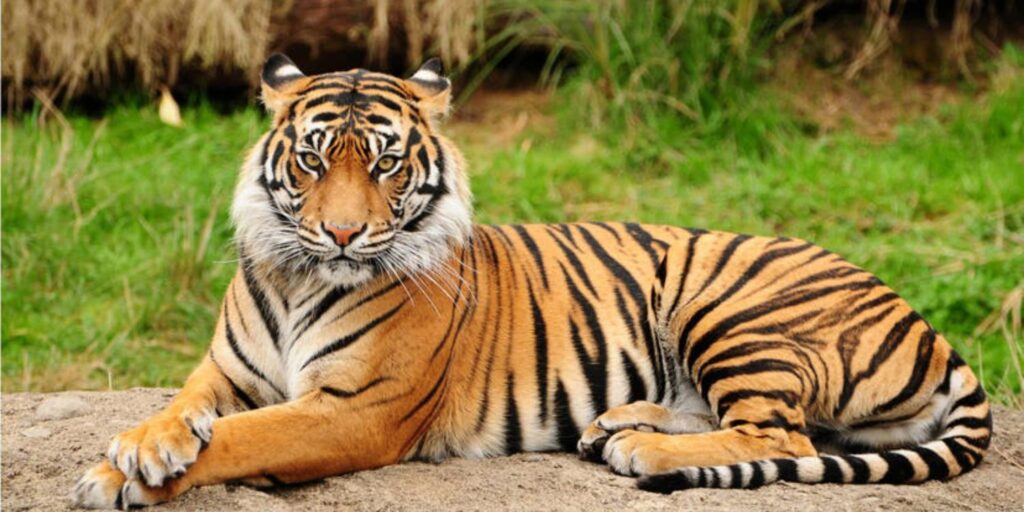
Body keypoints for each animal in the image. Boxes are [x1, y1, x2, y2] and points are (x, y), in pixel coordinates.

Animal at [71, 54, 992, 508]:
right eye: (312, 160)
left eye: (386, 164)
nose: (341, 232)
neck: (301, 277)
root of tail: (928, 324)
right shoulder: (224, 372)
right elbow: (184, 411)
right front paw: (138, 449)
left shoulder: (354, 410)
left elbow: (243, 439)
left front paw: (125, 475)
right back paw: (616, 424)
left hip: (729, 305)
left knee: (784, 437)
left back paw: (641, 448)